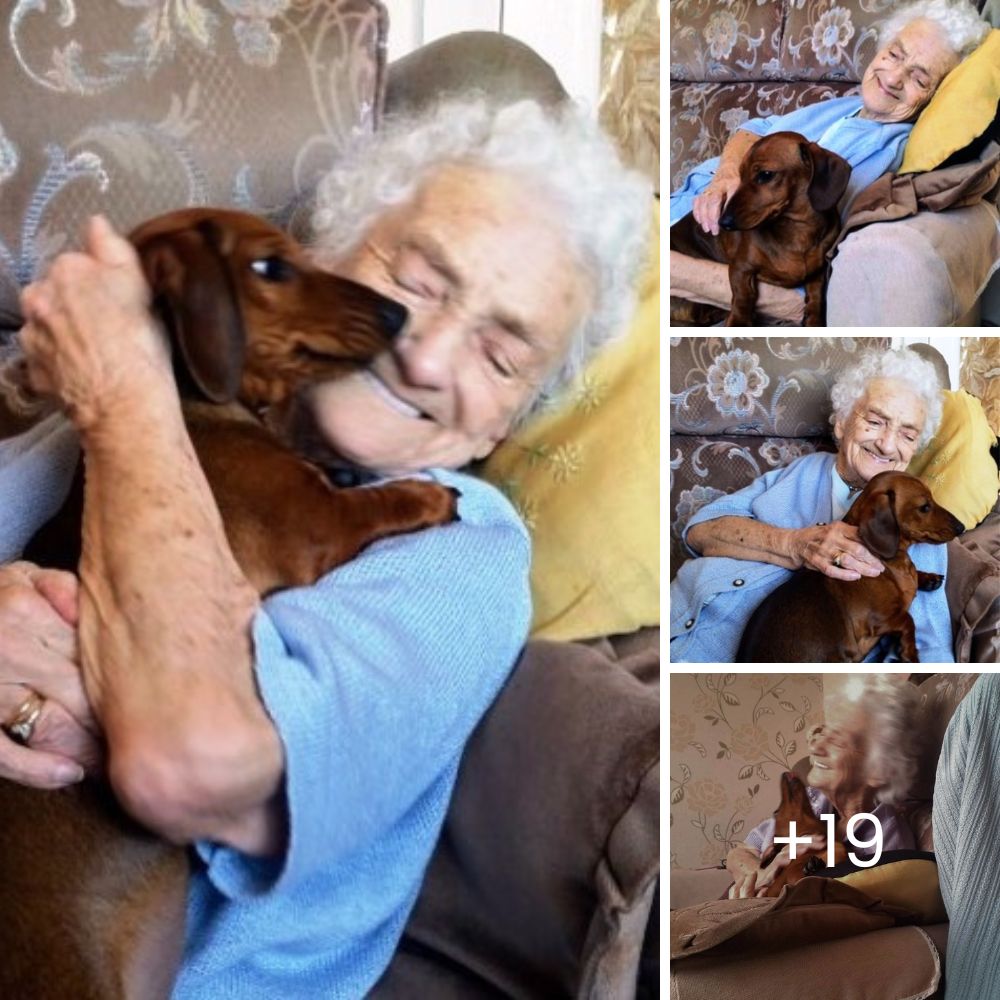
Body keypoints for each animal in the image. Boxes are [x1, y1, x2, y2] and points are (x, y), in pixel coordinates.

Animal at [0, 207, 460, 996]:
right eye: (270, 267)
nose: (399, 314)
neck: (193, 410)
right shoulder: (313, 525)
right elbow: (372, 503)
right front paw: (427, 494)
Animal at [672, 131, 852, 326]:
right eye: (740, 175)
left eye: (765, 175)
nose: (723, 222)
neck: (798, 230)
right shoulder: (740, 267)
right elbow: (743, 296)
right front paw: (739, 321)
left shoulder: (817, 272)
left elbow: (817, 296)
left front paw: (814, 320)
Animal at [740, 470, 964, 664]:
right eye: (925, 507)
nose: (961, 527)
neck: (889, 562)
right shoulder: (879, 619)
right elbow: (909, 620)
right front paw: (910, 653)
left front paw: (928, 578)